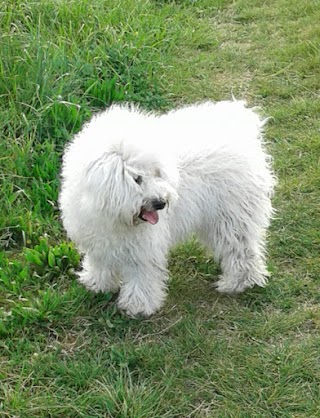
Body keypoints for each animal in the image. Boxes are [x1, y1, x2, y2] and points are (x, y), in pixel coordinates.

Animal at [59, 100, 276, 316]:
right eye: (137, 178)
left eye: (157, 173)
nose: (161, 203)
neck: (115, 217)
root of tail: (243, 127)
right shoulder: (97, 240)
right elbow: (101, 264)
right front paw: (97, 284)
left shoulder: (143, 249)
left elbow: (141, 276)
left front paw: (138, 305)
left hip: (231, 217)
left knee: (241, 249)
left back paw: (238, 282)